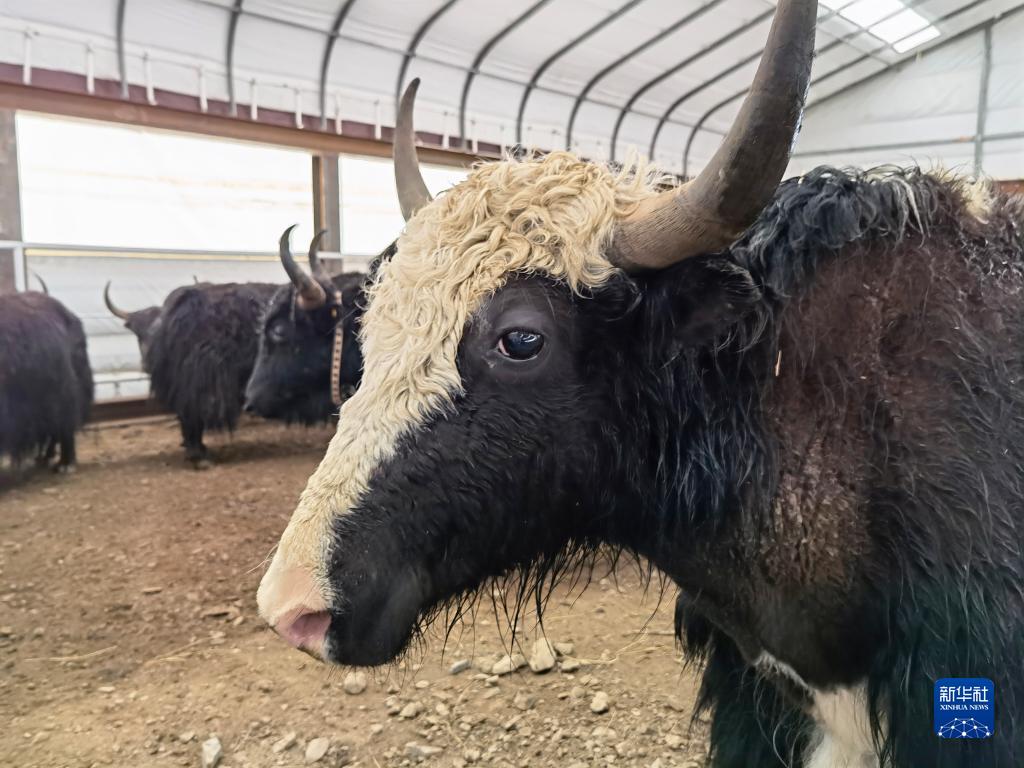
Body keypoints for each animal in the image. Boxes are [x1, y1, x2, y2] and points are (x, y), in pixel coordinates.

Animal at [104, 280, 277, 467]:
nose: (146, 363)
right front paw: (194, 450)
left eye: (155, 331)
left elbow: (193, 418)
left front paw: (198, 455)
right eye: (137, 334)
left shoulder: (198, 388)